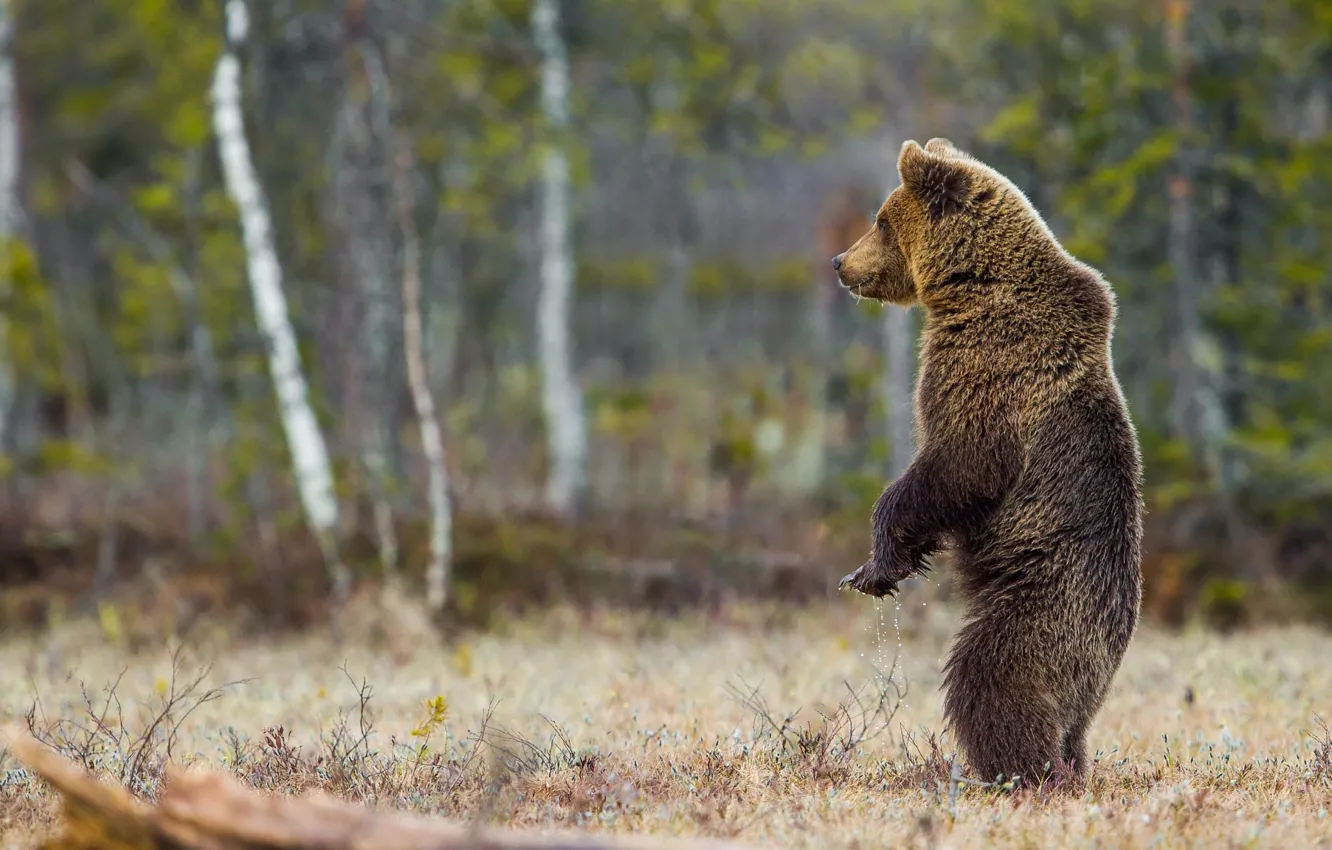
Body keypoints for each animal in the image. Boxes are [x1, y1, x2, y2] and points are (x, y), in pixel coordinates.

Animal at [831, 137, 1144, 787]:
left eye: (881, 220)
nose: (838, 261)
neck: (970, 287)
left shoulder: (991, 369)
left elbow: (959, 465)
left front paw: (874, 568)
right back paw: (1067, 766)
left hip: (1043, 609)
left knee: (991, 679)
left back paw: (1015, 773)